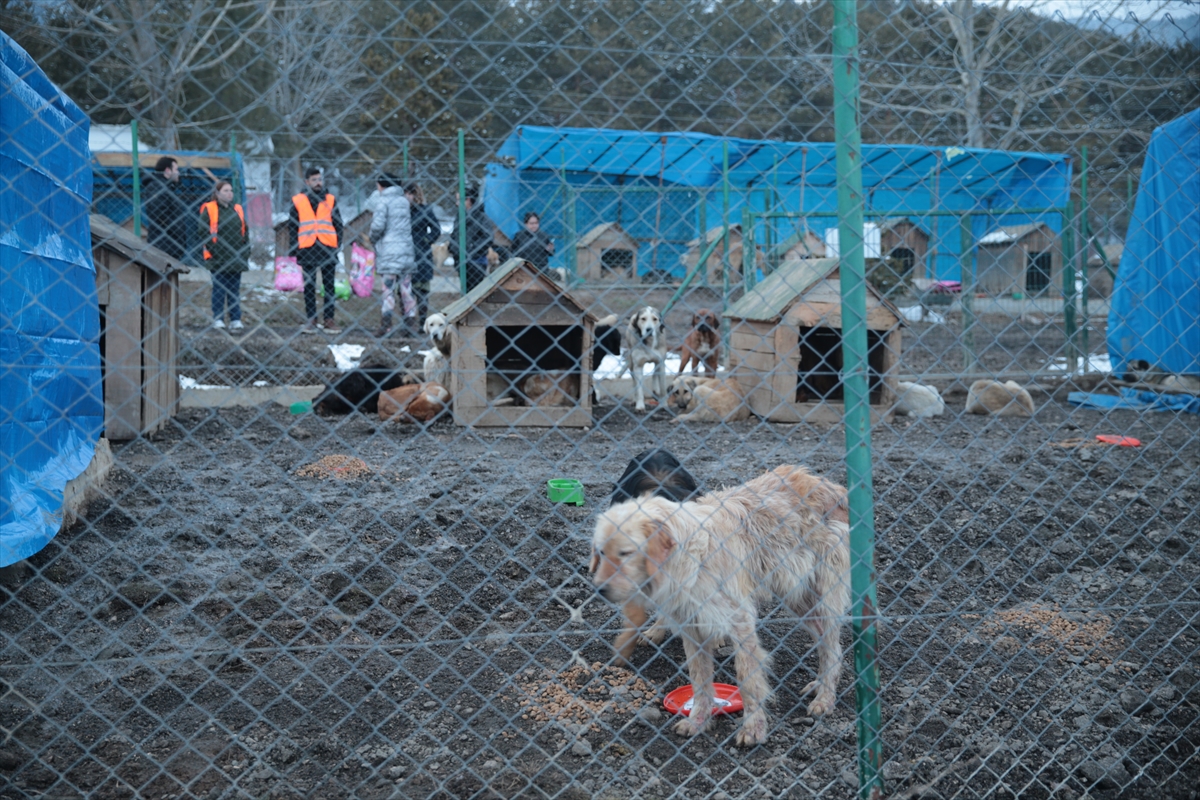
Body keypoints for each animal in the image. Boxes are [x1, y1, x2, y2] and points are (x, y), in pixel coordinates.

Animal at [592, 465, 854, 748]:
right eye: (601, 552)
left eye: (626, 553)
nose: (599, 589)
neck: (690, 555)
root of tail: (830, 486)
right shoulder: (691, 628)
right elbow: (700, 679)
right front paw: (698, 721)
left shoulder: (740, 623)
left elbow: (747, 679)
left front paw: (753, 729)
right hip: (799, 601)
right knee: (829, 646)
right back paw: (819, 685)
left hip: (824, 597)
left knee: (832, 648)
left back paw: (825, 698)